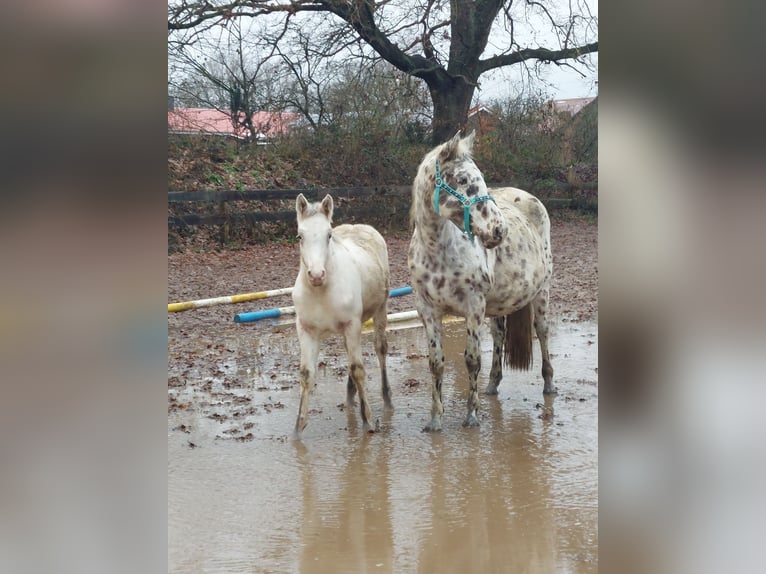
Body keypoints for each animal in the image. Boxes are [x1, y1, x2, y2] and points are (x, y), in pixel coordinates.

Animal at [408, 133, 560, 434]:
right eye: (463, 179)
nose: (499, 231)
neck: (437, 250)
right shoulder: (427, 311)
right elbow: (436, 363)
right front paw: (435, 419)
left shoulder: (473, 306)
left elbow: (472, 359)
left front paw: (472, 415)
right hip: (498, 303)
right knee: (499, 335)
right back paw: (492, 385)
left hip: (541, 292)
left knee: (542, 332)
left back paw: (549, 384)